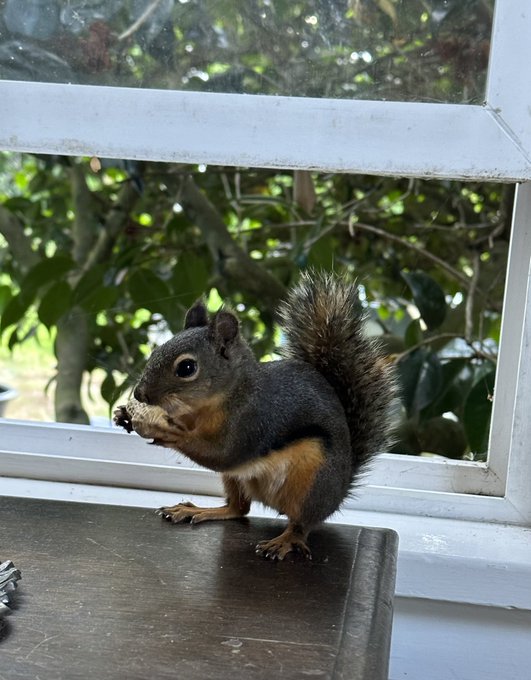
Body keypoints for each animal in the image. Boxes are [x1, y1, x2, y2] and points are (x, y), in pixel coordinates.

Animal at [114, 271, 396, 560]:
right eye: (156, 351)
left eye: (187, 368)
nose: (140, 393)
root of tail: (339, 493)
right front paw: (125, 415)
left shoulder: (254, 420)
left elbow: (224, 454)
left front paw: (168, 432)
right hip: (236, 479)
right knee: (239, 509)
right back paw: (198, 510)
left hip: (313, 484)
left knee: (302, 523)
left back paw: (285, 540)